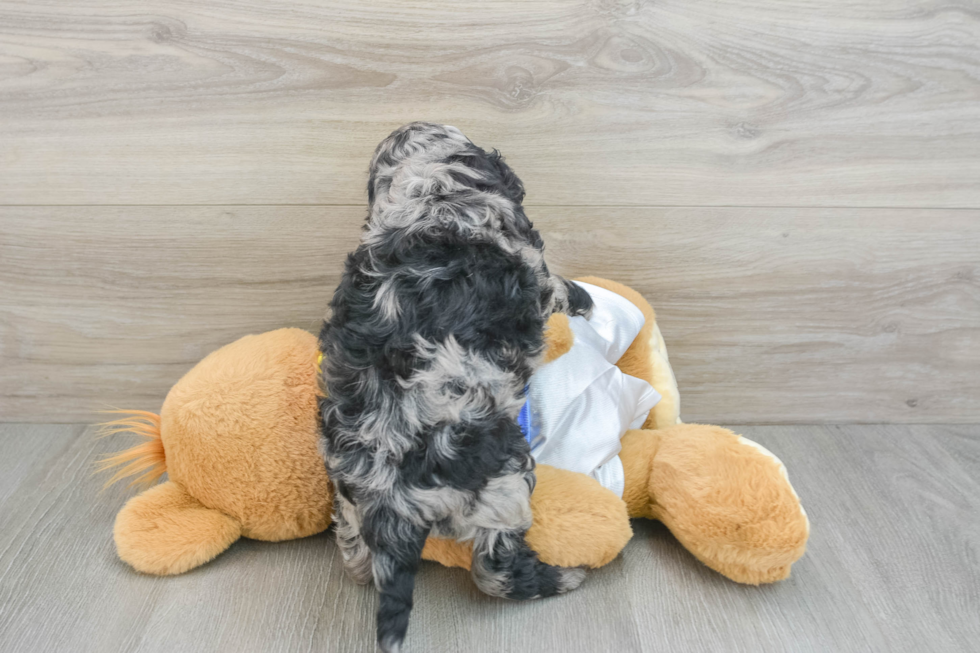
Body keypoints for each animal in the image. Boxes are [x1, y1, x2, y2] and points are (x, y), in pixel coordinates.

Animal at [322, 123, 592, 652]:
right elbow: (557, 286)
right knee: (496, 572)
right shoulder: (535, 267)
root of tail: (392, 496)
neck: (434, 189)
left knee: (356, 557)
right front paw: (584, 299)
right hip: (504, 483)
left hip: (349, 496)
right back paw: (566, 577)